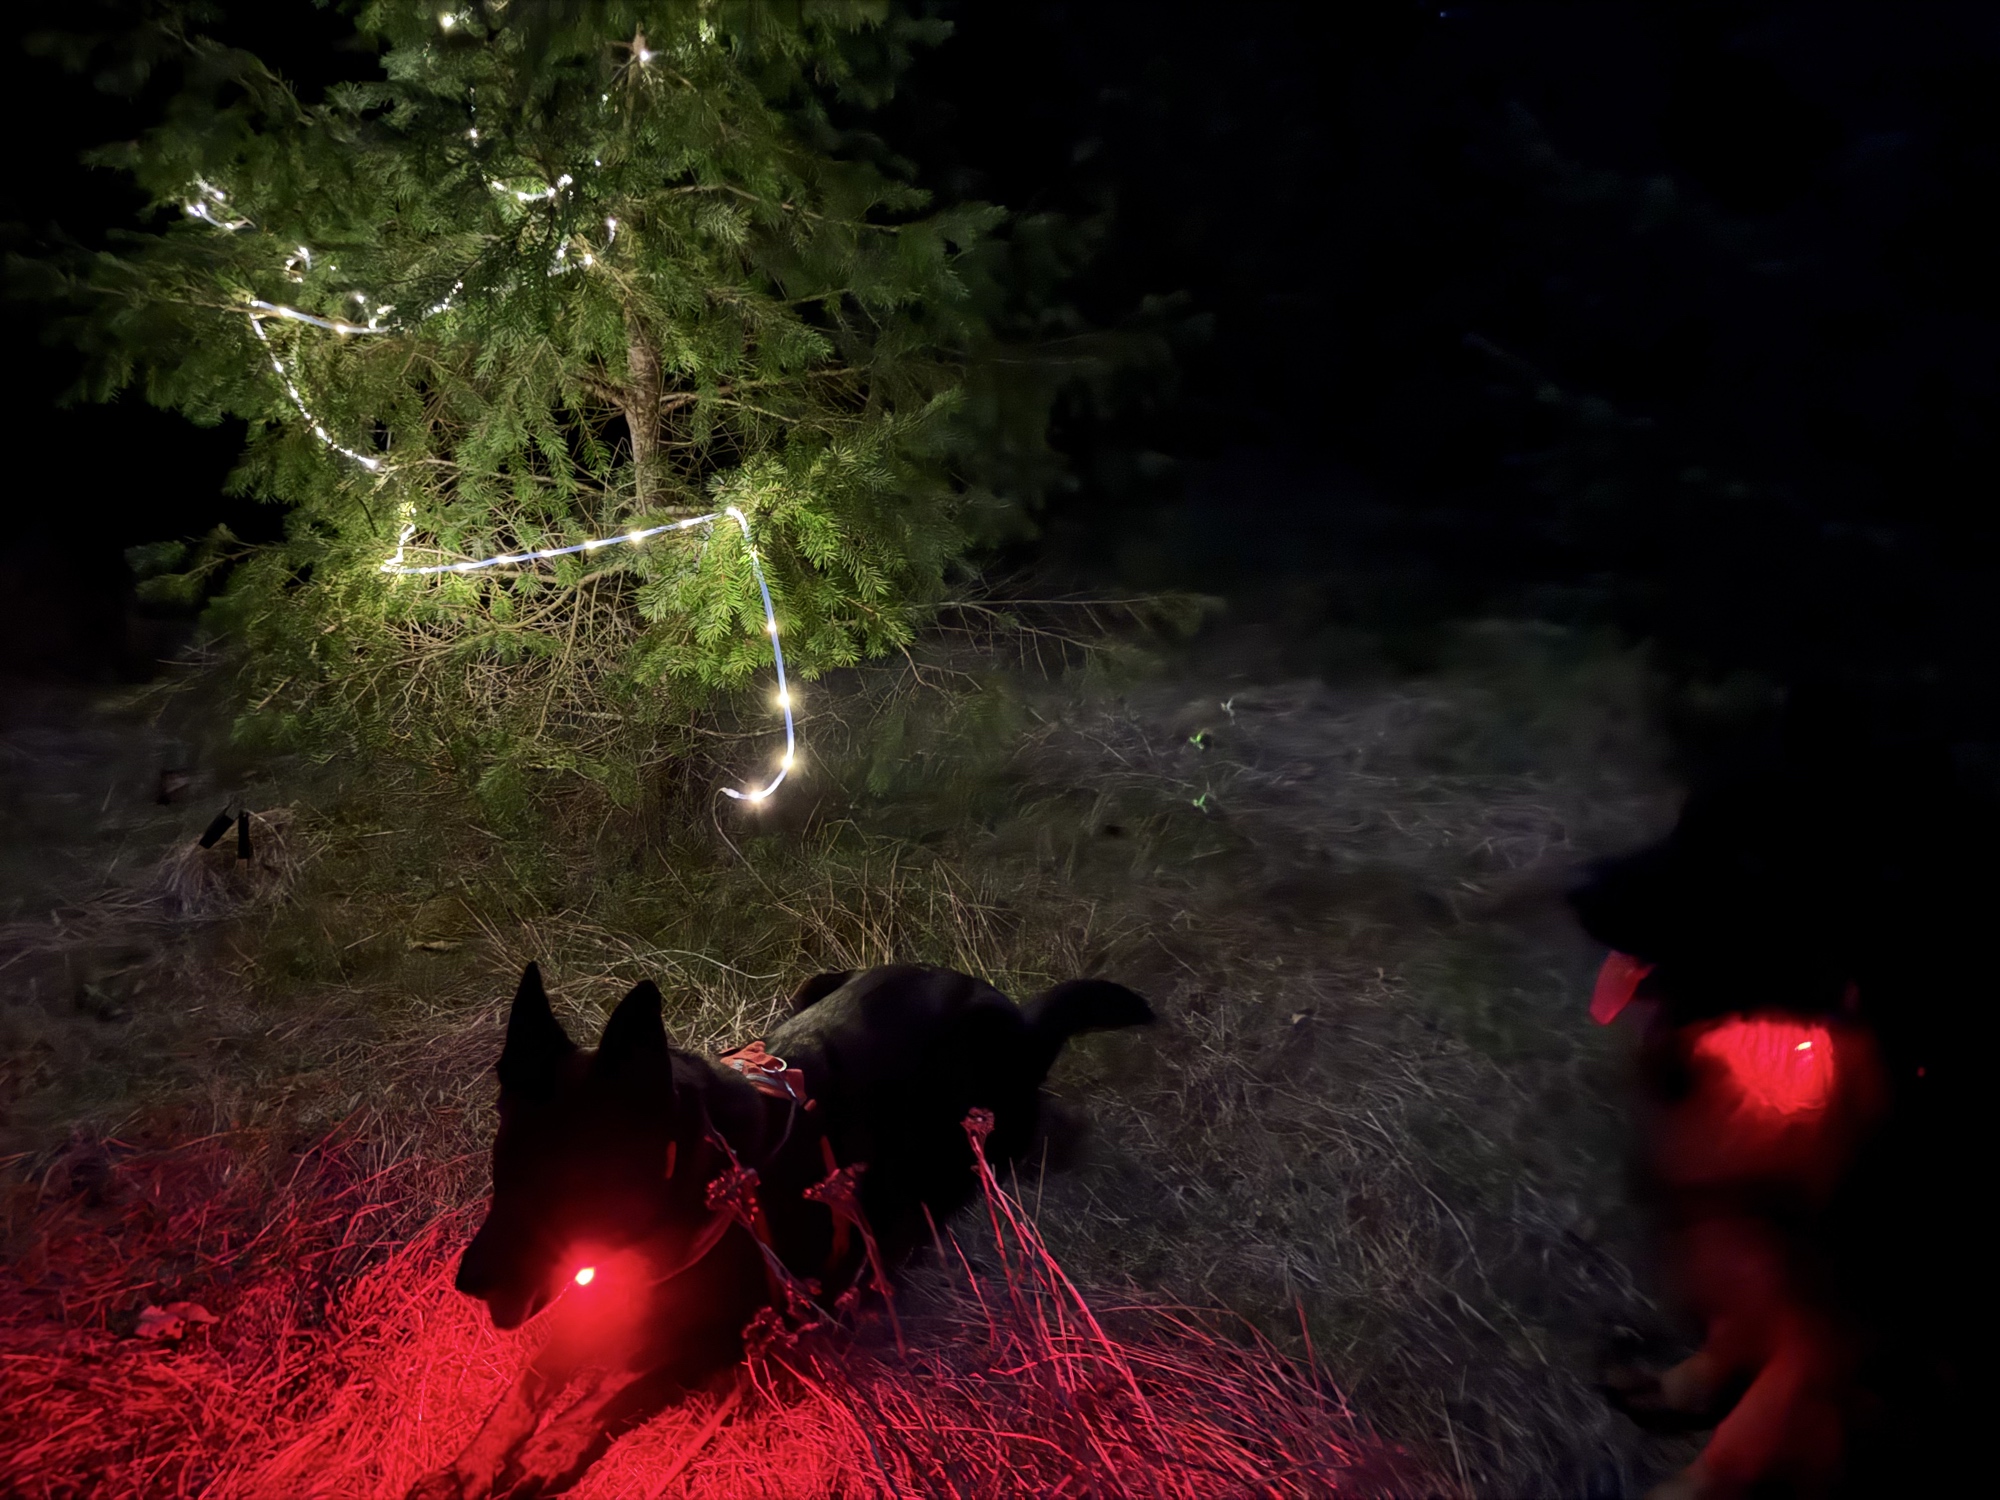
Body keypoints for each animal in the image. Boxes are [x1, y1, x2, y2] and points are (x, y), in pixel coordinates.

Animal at [408, 962, 1153, 1500]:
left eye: (566, 1189)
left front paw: (548, 1452)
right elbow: (530, 1381)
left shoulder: (713, 1330)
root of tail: (1017, 1013)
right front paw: (471, 1465)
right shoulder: (601, 1288)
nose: (465, 1284)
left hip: (991, 1139)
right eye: (501, 1172)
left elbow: (615, 1381)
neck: (697, 1161)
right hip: (818, 982)